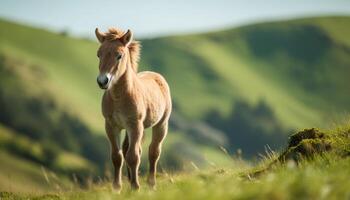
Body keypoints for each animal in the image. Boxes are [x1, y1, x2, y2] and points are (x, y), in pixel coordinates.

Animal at [95, 27, 172, 191]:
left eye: (119, 55)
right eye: (99, 54)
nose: (102, 81)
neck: (119, 97)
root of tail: (156, 75)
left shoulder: (135, 125)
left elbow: (133, 156)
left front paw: (136, 187)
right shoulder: (111, 126)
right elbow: (117, 156)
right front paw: (117, 188)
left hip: (161, 124)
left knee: (153, 151)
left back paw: (151, 184)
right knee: (127, 149)